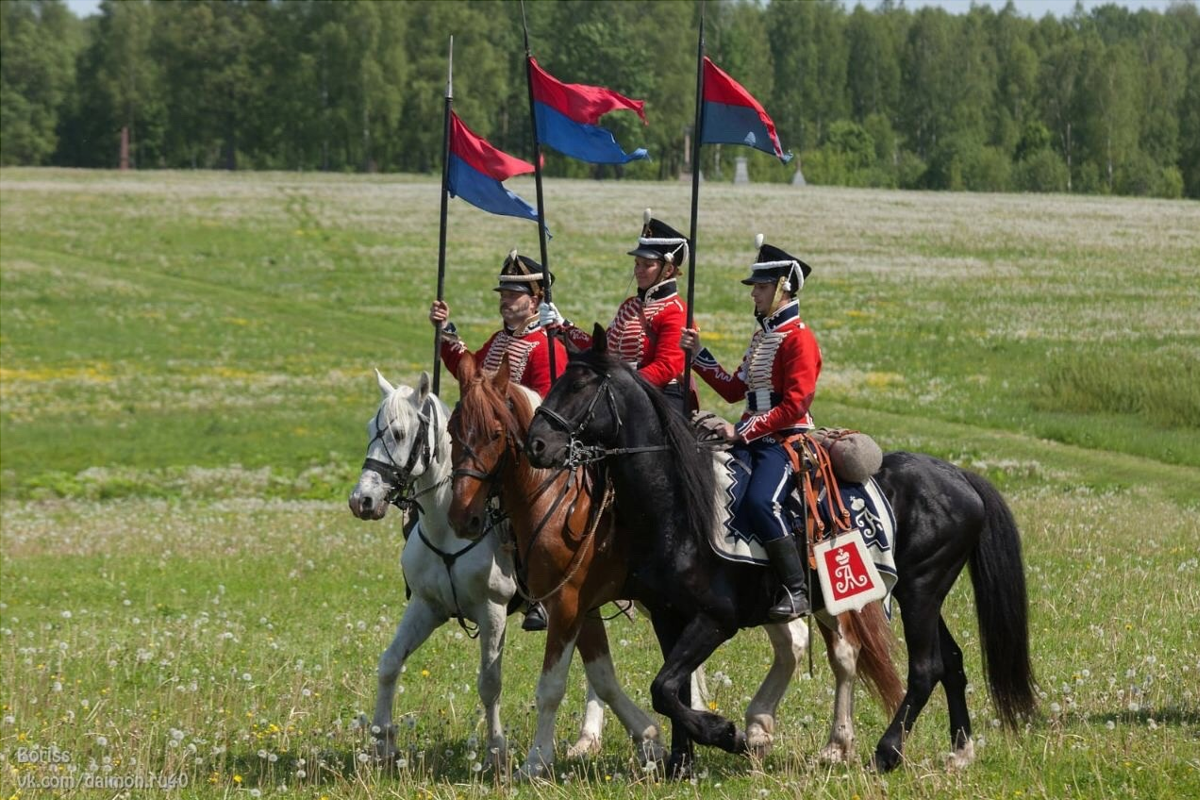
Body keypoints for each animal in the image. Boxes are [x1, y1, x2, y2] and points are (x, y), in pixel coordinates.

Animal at [528, 326, 1041, 777]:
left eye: (580, 386)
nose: (536, 443)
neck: (679, 501)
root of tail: (959, 476)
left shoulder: (715, 619)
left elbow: (665, 687)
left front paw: (729, 735)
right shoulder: (669, 616)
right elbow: (674, 692)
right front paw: (681, 761)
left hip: (920, 592)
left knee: (926, 667)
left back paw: (887, 751)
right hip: (924, 594)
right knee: (951, 662)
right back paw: (960, 752)